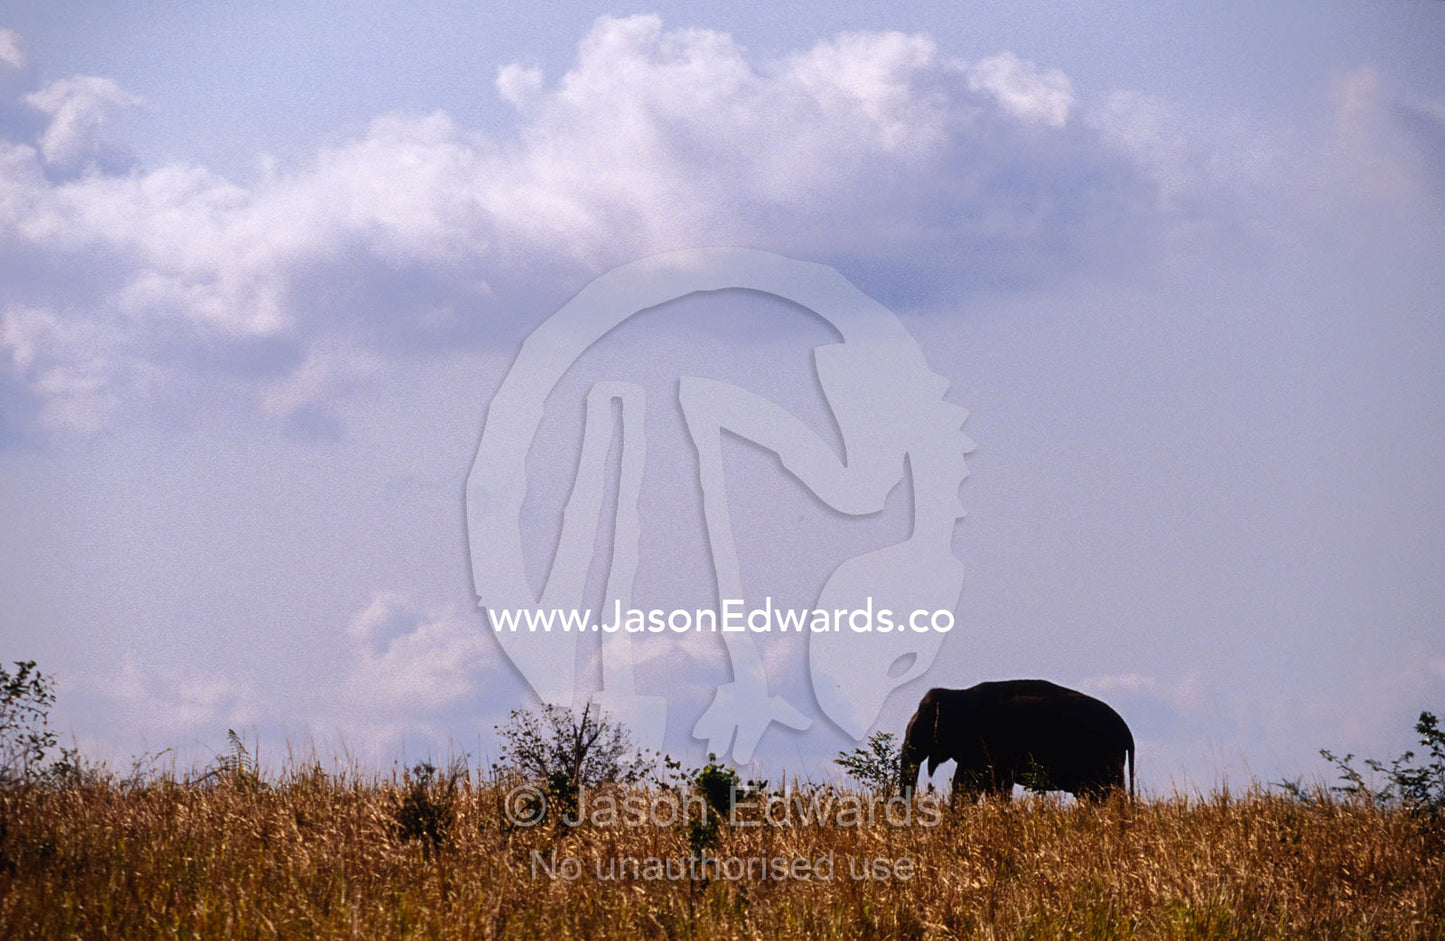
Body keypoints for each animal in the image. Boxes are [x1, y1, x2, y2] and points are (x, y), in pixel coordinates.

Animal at [899, 680, 1134, 802]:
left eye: (923, 721)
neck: (958, 694)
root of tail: (1127, 733)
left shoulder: (991, 744)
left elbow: (993, 785)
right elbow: (967, 784)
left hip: (1103, 759)